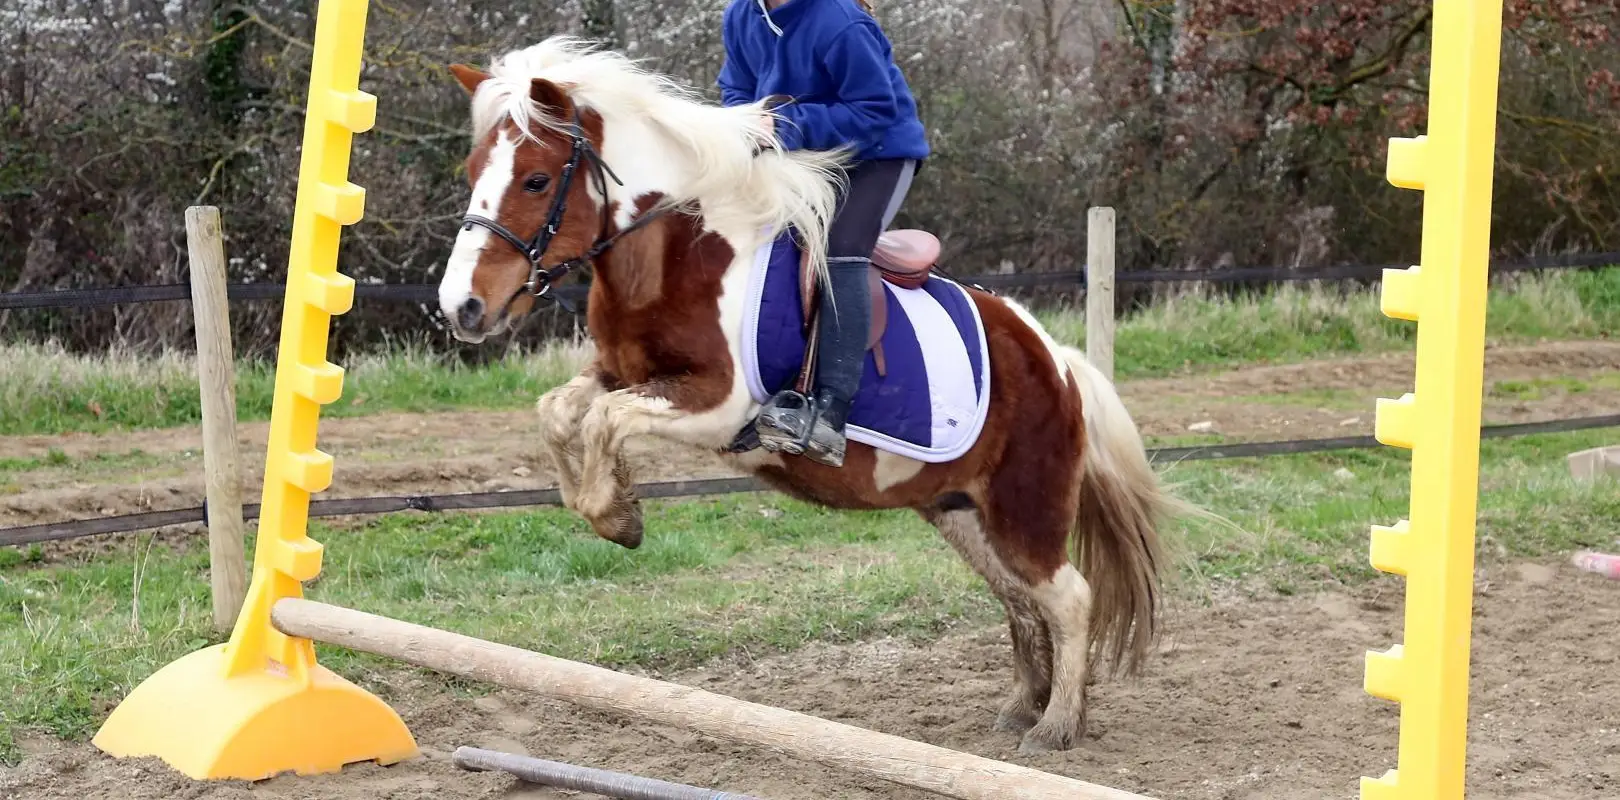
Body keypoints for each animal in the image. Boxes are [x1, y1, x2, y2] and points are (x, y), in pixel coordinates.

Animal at [435, 36, 1185, 754]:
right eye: (471, 174)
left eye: (536, 179)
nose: (461, 308)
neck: (675, 254)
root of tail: (1057, 361)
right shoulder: (620, 373)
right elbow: (563, 412)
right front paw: (610, 502)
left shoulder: (716, 406)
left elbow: (606, 421)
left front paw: (617, 517)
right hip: (959, 510)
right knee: (1020, 598)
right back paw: (1023, 706)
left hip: (1024, 510)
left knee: (1070, 597)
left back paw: (1057, 725)